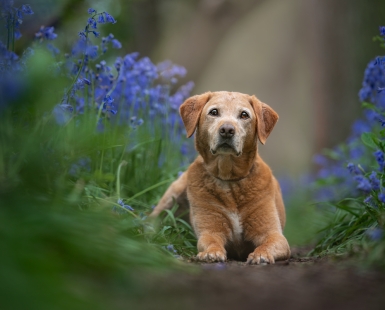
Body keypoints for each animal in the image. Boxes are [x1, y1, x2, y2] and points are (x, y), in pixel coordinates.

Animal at [149, 91, 288, 262]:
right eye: (214, 112)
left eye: (244, 115)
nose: (227, 130)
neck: (229, 179)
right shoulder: (210, 230)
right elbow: (211, 241)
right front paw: (212, 253)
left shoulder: (273, 234)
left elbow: (268, 244)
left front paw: (261, 254)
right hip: (171, 196)